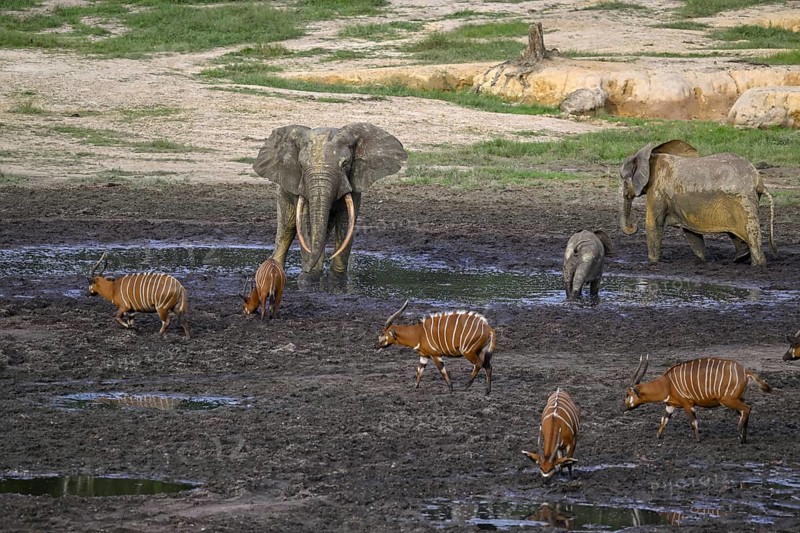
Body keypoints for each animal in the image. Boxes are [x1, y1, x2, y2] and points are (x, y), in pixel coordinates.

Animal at [253, 123, 407, 289]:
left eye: (345, 164)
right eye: (301, 165)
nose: (305, 271)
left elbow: (346, 223)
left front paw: (337, 282)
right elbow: (306, 224)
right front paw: (308, 281)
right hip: (282, 190)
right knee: (287, 227)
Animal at [619, 139, 776, 267]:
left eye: (623, 180)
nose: (633, 226)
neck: (649, 156)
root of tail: (759, 181)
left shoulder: (657, 190)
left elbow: (653, 223)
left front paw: (652, 262)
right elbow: (691, 232)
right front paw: (702, 260)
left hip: (743, 200)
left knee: (751, 230)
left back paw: (757, 265)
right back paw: (740, 259)